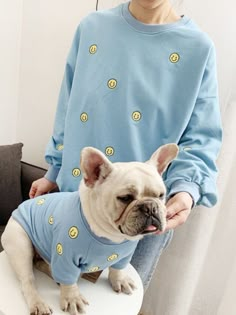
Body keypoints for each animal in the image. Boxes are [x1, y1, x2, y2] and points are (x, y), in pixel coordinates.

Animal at [1, 144, 177, 314]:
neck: (112, 236)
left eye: (161, 195)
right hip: (20, 244)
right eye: (125, 198)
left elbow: (117, 268)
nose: (150, 207)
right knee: (28, 281)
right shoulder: (65, 257)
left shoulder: (125, 255)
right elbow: (68, 282)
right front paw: (72, 298)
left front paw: (120, 280)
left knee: (39, 263)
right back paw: (39, 303)